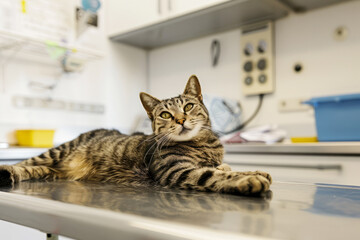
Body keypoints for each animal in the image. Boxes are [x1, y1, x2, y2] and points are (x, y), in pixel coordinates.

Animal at [0, 76, 270, 196]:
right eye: (165, 114)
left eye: (189, 106)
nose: (180, 120)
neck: (202, 144)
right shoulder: (176, 170)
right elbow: (212, 174)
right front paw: (249, 179)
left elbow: (224, 168)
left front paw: (253, 170)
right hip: (57, 152)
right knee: (26, 162)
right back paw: (7, 170)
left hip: (53, 170)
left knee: (35, 170)